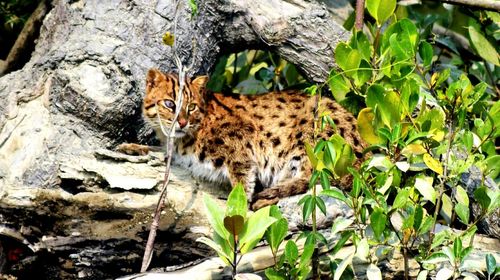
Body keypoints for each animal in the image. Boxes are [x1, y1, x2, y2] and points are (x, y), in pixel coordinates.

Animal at [119, 69, 366, 210]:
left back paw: (268, 196)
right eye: (170, 104)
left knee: (316, 178)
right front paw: (131, 146)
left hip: (312, 135)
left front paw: (237, 211)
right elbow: (155, 149)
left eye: (191, 107)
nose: (181, 123)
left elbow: (241, 182)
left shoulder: (242, 144)